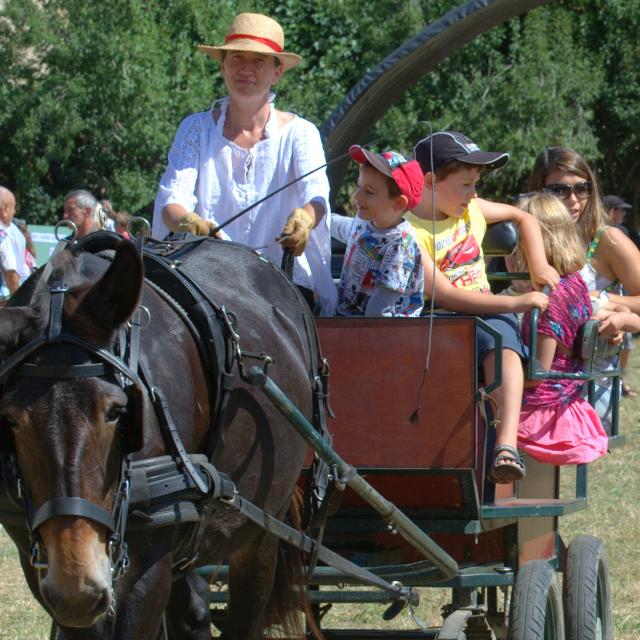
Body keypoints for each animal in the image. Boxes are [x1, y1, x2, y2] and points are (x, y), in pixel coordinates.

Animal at [0, 236, 320, 640]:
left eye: (116, 411)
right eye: (9, 418)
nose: (78, 583)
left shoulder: (147, 567)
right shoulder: (40, 568)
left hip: (263, 522)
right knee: (192, 612)